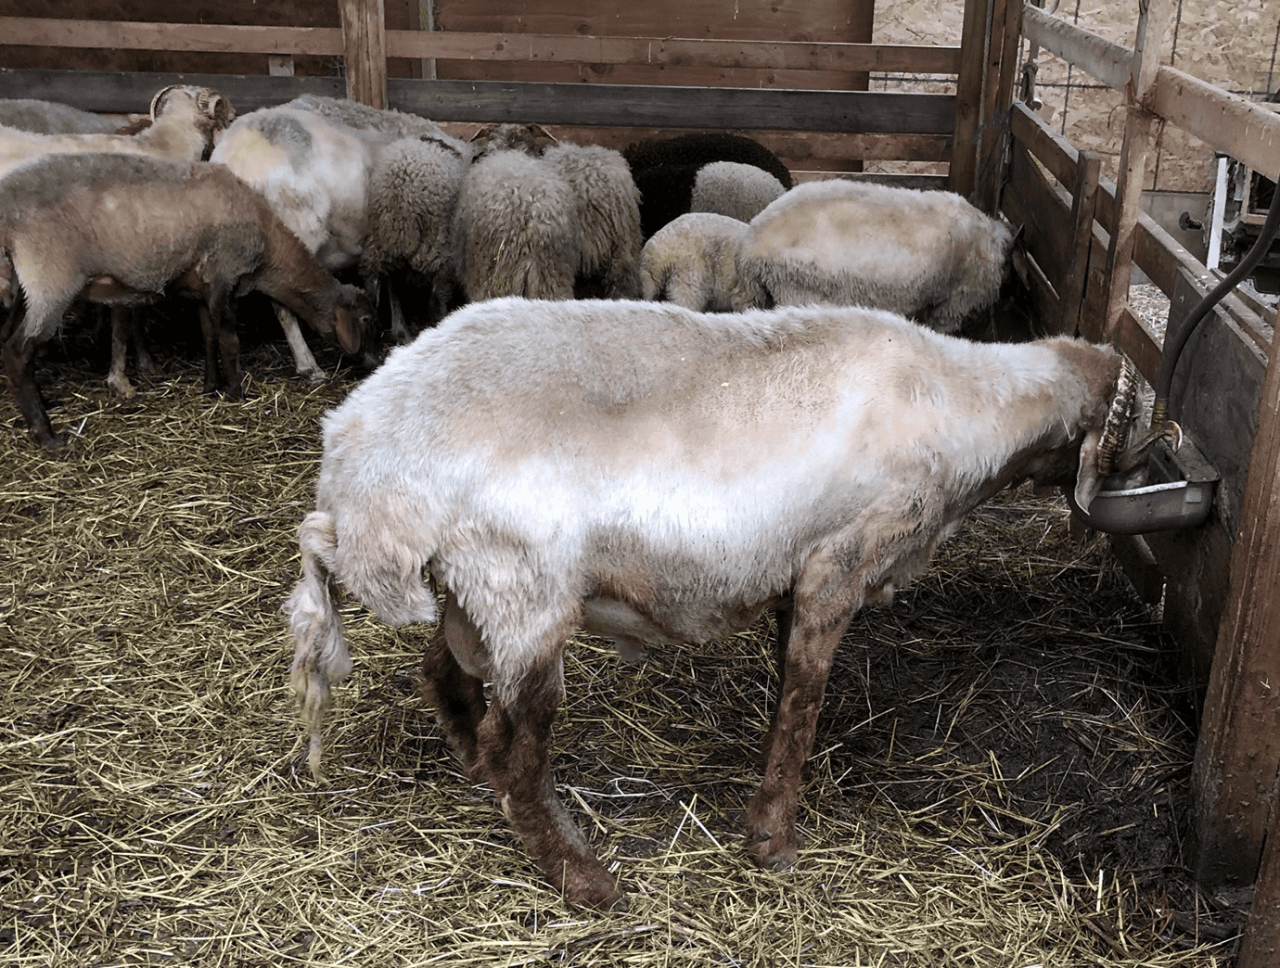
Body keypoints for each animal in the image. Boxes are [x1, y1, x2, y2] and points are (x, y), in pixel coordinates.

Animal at [0, 153, 371, 450]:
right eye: (365, 320)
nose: (370, 362)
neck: (270, 249)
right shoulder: (224, 272)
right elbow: (229, 340)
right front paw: (236, 393)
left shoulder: (201, 286)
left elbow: (207, 335)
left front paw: (211, 386)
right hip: (52, 281)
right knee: (19, 351)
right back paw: (47, 436)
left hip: (23, 288)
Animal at [284, 295, 1178, 910]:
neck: (961, 405)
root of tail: (349, 469)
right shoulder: (836, 563)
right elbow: (804, 704)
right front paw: (772, 840)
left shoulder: (793, 573)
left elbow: (787, 688)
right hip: (523, 590)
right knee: (519, 748)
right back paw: (585, 879)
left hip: (476, 592)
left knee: (447, 676)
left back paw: (475, 769)